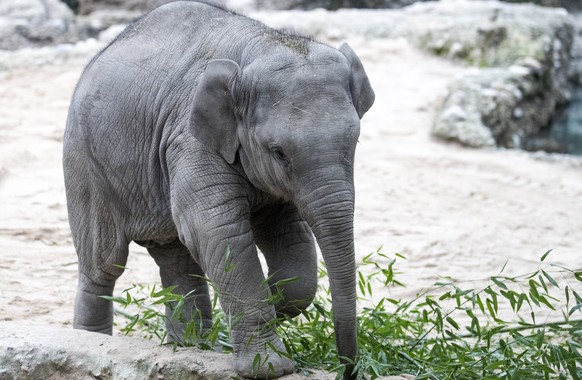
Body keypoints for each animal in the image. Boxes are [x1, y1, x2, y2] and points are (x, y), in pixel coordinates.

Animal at [62, 1, 374, 378]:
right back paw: (91, 343)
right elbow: (217, 230)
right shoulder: (189, 139)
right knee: (102, 263)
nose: (349, 369)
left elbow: (289, 237)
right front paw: (268, 366)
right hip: (84, 163)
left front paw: (275, 301)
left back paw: (189, 346)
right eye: (279, 153)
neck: (263, 44)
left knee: (176, 259)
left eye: (355, 140)